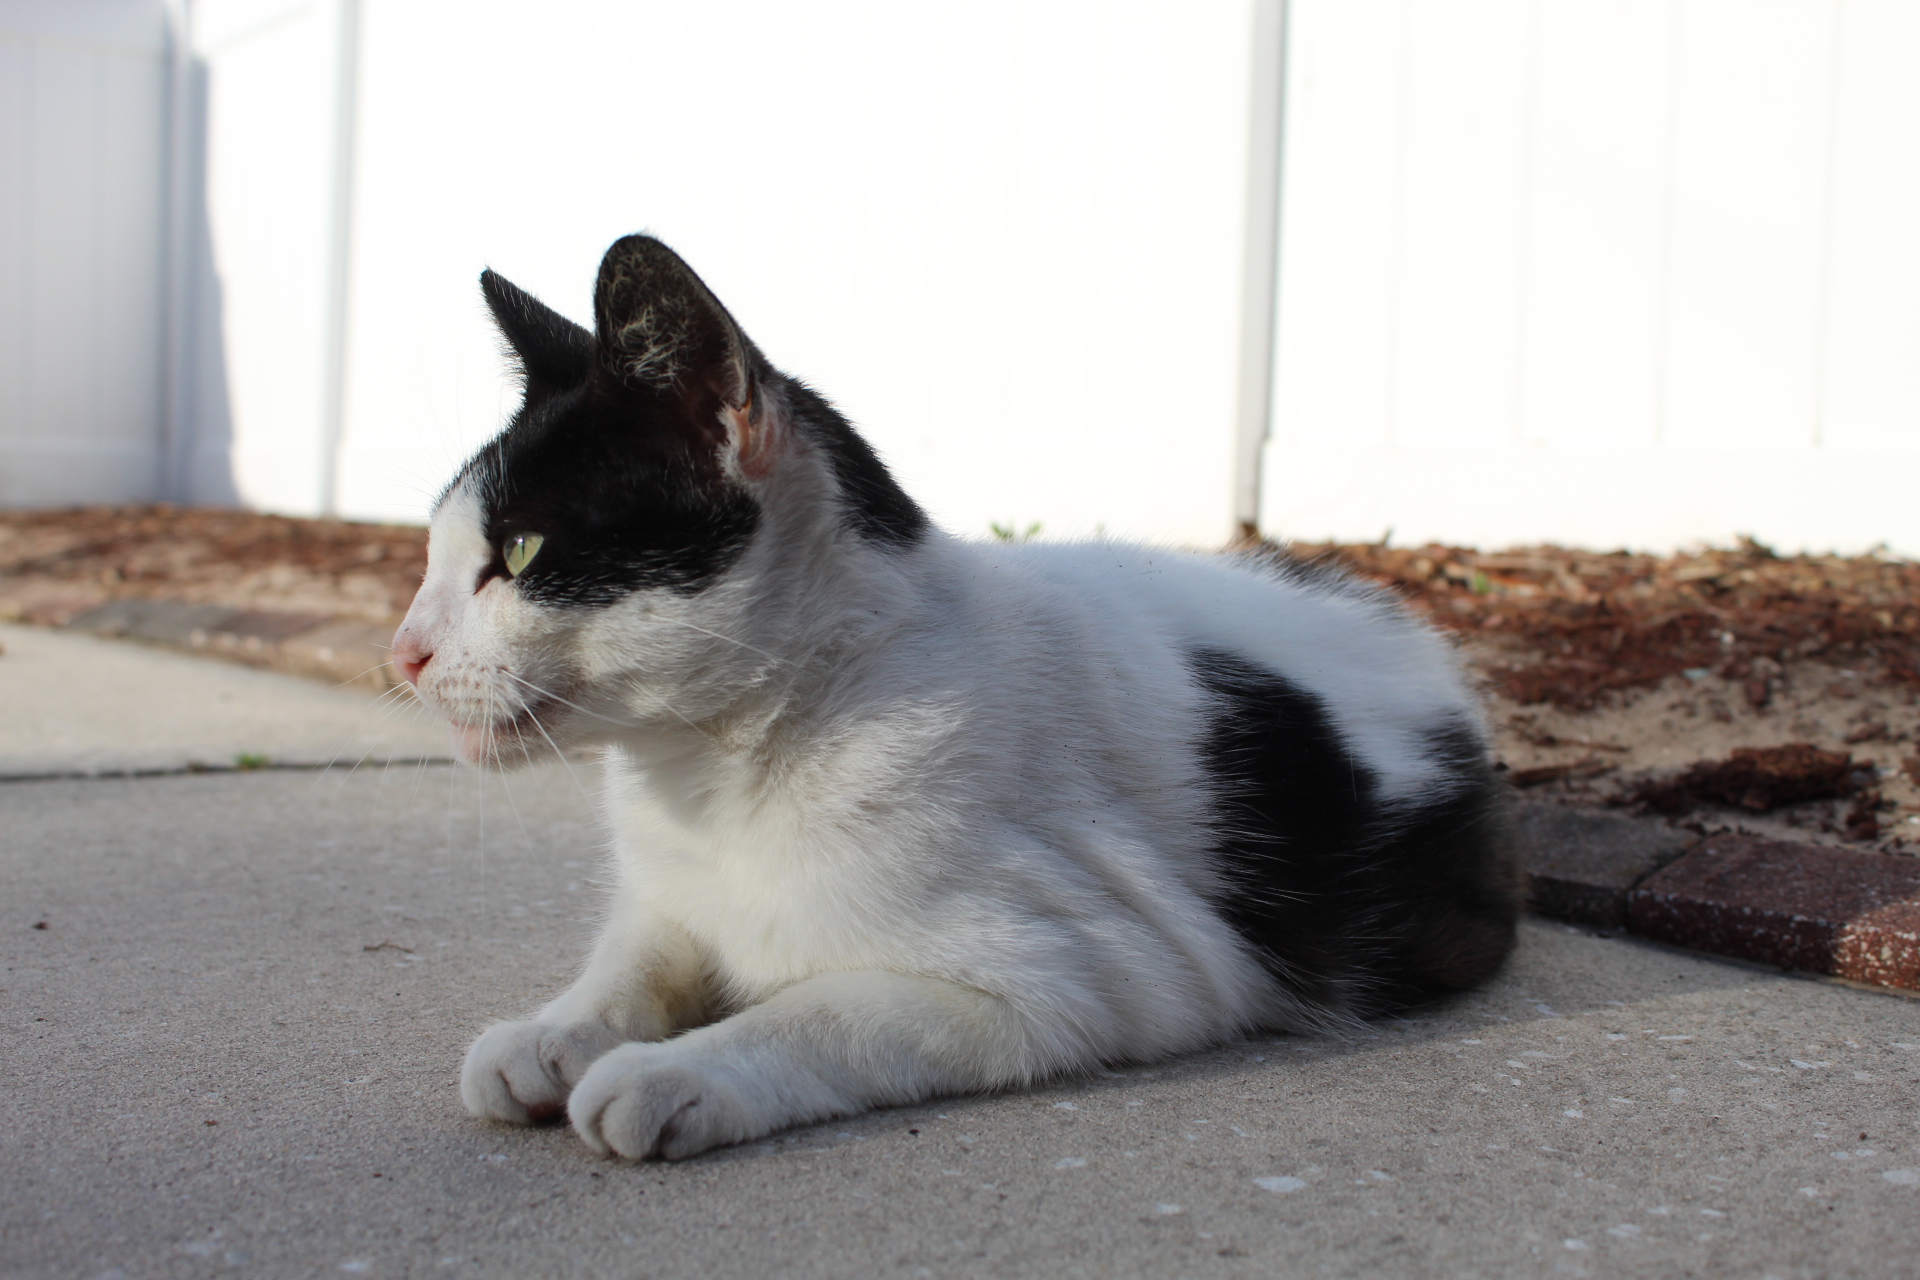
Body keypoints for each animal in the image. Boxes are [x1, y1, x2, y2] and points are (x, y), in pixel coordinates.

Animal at [389, 235, 1520, 1166]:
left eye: (521, 552)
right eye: (438, 553)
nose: (403, 650)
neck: (714, 769)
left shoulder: (1084, 978)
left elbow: (817, 1013)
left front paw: (674, 1071)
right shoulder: (671, 897)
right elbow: (636, 960)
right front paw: (551, 1033)